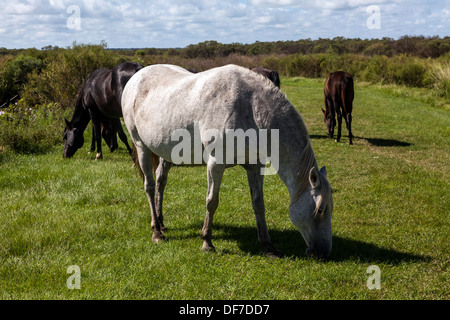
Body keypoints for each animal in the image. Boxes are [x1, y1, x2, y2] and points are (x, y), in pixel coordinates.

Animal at [121, 63, 332, 258]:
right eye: (320, 209)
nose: (324, 252)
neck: (250, 107)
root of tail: (136, 76)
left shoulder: (254, 166)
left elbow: (258, 203)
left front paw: (267, 245)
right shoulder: (216, 164)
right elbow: (211, 201)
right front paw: (207, 242)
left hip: (166, 152)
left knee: (160, 182)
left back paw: (161, 222)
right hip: (141, 146)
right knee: (149, 186)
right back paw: (157, 231)